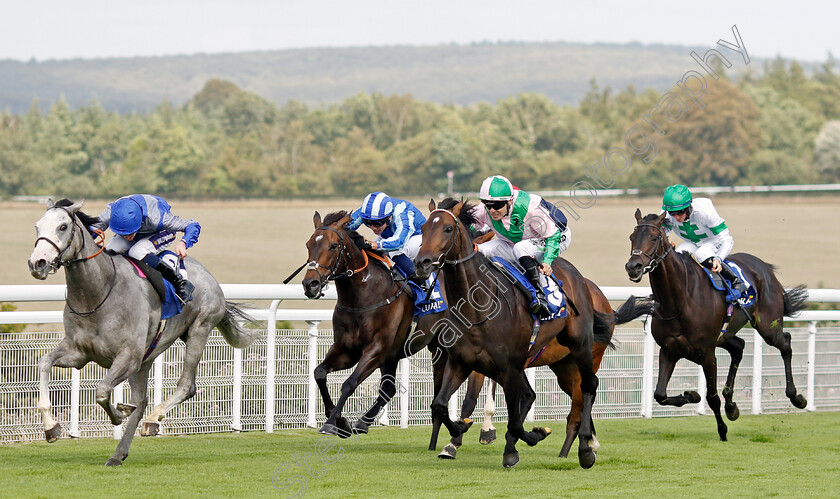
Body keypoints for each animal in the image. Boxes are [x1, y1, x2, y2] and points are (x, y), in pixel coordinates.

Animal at [28, 198, 260, 464]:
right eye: (37, 226)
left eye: (63, 226)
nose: (37, 263)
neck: (98, 292)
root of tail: (208, 275)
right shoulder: (78, 353)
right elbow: (45, 362)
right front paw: (51, 426)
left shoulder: (127, 356)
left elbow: (102, 391)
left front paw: (119, 413)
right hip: (147, 358)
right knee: (141, 401)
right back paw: (118, 454)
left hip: (199, 329)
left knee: (184, 386)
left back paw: (152, 419)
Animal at [300, 211, 436, 438]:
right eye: (308, 244)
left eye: (333, 246)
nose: (310, 284)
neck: (363, 294)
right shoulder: (347, 349)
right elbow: (319, 372)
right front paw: (340, 420)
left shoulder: (376, 350)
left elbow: (349, 383)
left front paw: (332, 422)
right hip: (393, 355)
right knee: (388, 389)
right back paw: (363, 422)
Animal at [624, 211, 808, 442]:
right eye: (632, 237)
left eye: (654, 238)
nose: (633, 266)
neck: (679, 300)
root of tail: (765, 267)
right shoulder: (669, 350)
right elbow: (660, 395)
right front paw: (692, 395)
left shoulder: (706, 353)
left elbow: (712, 398)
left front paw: (722, 431)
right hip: (725, 334)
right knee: (739, 347)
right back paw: (731, 405)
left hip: (767, 326)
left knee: (786, 343)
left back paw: (796, 397)